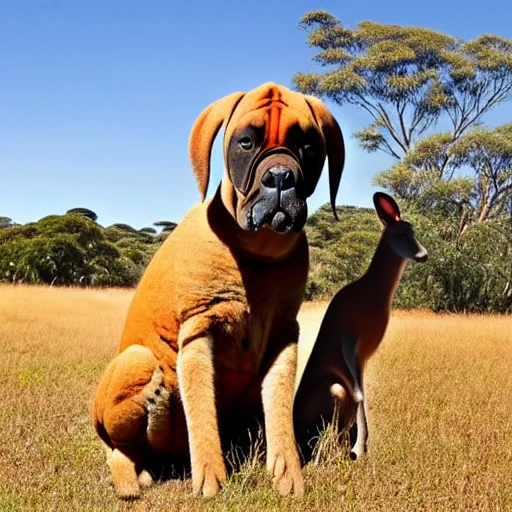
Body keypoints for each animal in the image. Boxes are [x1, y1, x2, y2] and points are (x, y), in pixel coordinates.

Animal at [93, 83, 344, 500]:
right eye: (246, 142)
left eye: (307, 146)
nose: (280, 177)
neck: (257, 251)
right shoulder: (199, 329)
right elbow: (201, 411)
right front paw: (211, 479)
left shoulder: (284, 333)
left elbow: (278, 406)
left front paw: (287, 474)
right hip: (137, 360)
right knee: (122, 447)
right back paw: (138, 461)